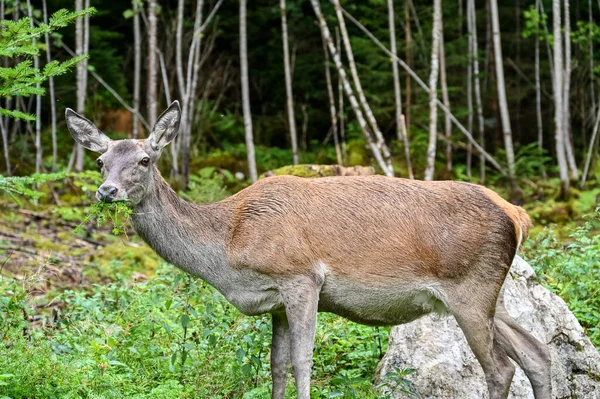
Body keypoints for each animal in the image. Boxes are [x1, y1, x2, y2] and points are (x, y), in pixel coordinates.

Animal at [67, 102, 552, 399]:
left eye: (145, 160)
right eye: (100, 161)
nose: (106, 191)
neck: (228, 243)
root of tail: (516, 214)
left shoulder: (301, 277)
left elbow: (303, 362)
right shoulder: (276, 301)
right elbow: (276, 365)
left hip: (469, 288)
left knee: (500, 367)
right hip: (493, 293)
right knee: (537, 353)